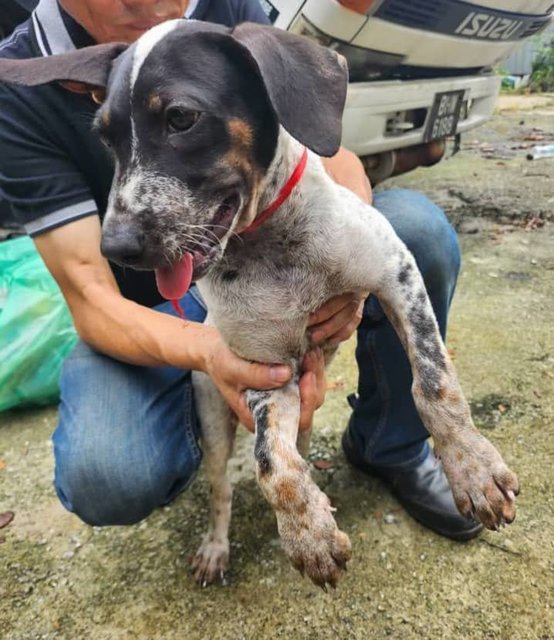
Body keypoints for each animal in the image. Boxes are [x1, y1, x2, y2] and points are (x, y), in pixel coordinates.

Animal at [0, 20, 516, 592]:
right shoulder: (264, 371)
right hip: (211, 416)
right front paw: (308, 534)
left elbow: (433, 384)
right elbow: (273, 465)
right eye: (106, 137)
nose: (115, 248)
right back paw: (218, 546)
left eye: (181, 117)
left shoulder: (395, 274)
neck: (273, 245)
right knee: (223, 487)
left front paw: (472, 468)